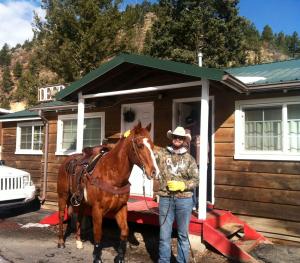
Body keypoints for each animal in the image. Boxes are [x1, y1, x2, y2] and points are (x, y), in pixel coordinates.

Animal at [56, 122, 159, 262]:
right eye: (140, 145)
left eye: (152, 145)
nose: (154, 172)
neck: (111, 175)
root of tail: (67, 161)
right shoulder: (97, 209)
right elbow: (98, 233)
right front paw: (97, 257)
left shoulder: (121, 207)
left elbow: (124, 231)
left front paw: (120, 257)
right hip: (63, 196)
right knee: (61, 215)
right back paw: (61, 242)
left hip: (81, 202)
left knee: (79, 216)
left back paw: (78, 242)